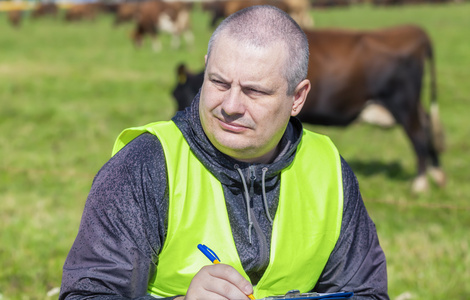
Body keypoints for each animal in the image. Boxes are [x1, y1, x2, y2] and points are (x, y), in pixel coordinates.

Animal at [172, 24, 444, 192]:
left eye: (178, 95)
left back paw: (420, 183)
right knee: (427, 126)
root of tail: (413, 31)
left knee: (418, 133)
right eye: (218, 82)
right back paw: (436, 173)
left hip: (402, 103)